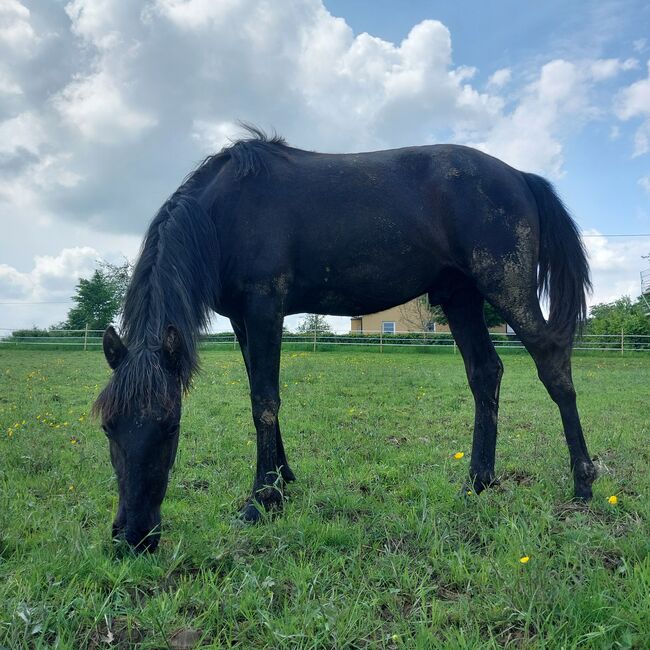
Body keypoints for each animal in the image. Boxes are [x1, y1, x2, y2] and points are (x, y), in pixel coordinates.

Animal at [93, 125, 596, 548]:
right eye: (107, 427)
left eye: (170, 426)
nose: (133, 537)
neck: (225, 209)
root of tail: (519, 176)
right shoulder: (241, 319)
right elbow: (260, 393)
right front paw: (282, 478)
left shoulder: (263, 308)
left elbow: (264, 400)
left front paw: (261, 501)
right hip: (461, 297)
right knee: (485, 372)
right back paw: (477, 482)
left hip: (506, 288)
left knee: (552, 362)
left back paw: (583, 482)